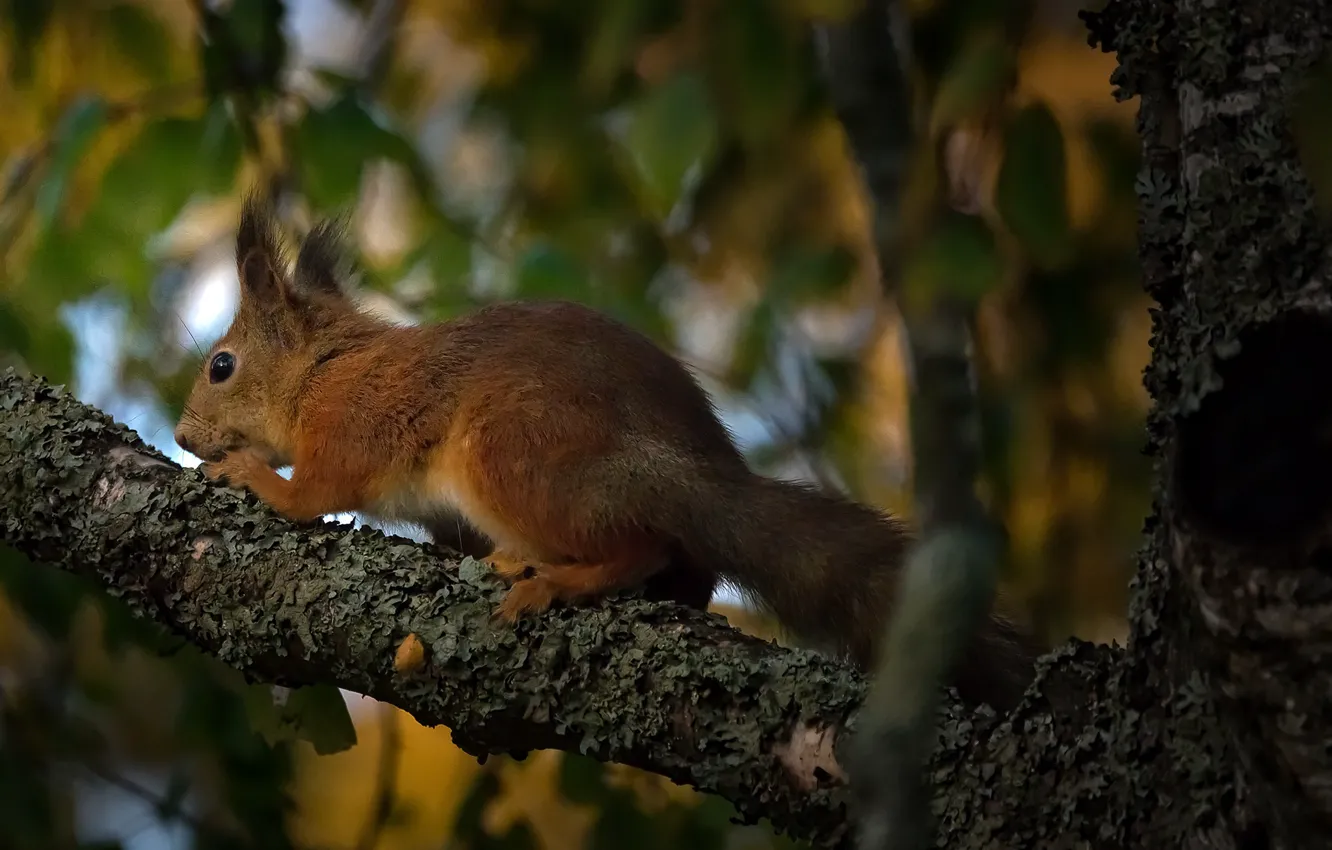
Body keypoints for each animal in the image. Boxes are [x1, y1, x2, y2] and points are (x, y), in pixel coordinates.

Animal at [169, 198, 1038, 714]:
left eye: (221, 366)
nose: (181, 437)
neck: (325, 368)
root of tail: (697, 475)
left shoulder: (353, 424)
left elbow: (315, 493)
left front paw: (253, 476)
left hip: (511, 455)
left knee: (642, 545)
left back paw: (556, 580)